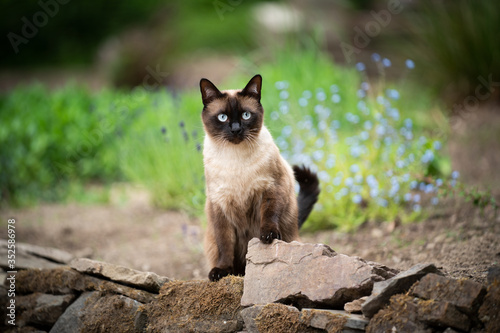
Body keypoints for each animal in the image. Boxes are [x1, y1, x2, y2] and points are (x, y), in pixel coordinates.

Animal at [200, 74, 320, 280]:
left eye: (245, 115)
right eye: (223, 117)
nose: (236, 129)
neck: (235, 160)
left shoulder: (271, 189)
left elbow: (269, 215)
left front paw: (268, 237)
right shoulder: (220, 206)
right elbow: (225, 244)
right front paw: (222, 271)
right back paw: (237, 272)